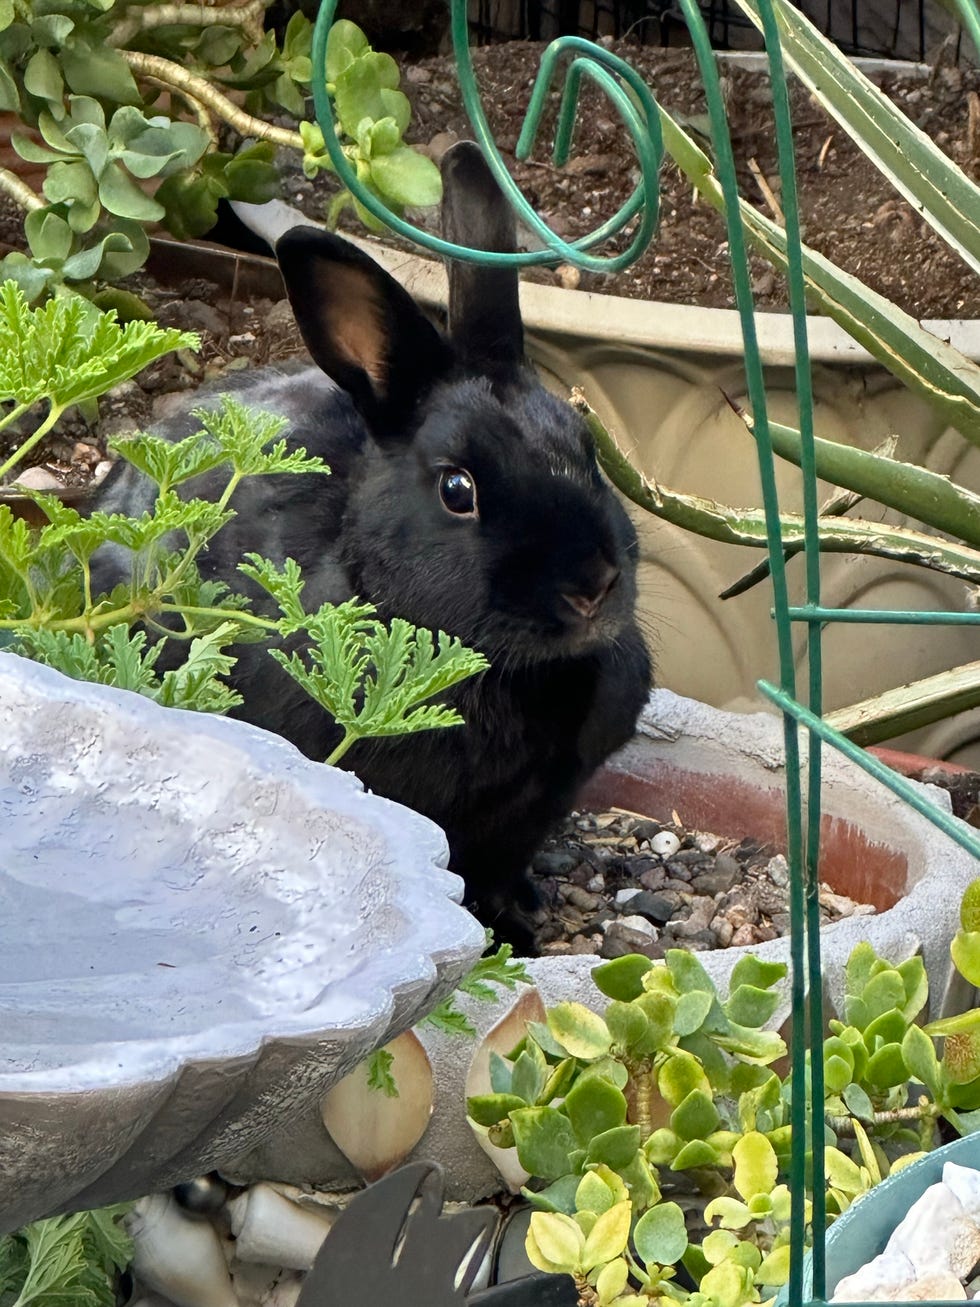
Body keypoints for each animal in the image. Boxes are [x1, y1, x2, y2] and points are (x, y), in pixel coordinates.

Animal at [96, 143, 655, 946]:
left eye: (587, 452)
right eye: (457, 489)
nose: (593, 585)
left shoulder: (526, 819)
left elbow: (499, 870)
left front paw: (514, 930)